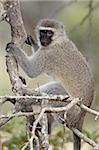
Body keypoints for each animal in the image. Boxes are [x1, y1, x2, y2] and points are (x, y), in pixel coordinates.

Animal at [6, 19, 94, 150]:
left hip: (68, 105)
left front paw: (14, 48)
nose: (43, 39)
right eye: (42, 32)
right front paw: (32, 42)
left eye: (49, 33)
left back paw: (23, 102)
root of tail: (79, 120)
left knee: (51, 91)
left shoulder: (48, 54)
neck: (58, 41)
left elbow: (32, 71)